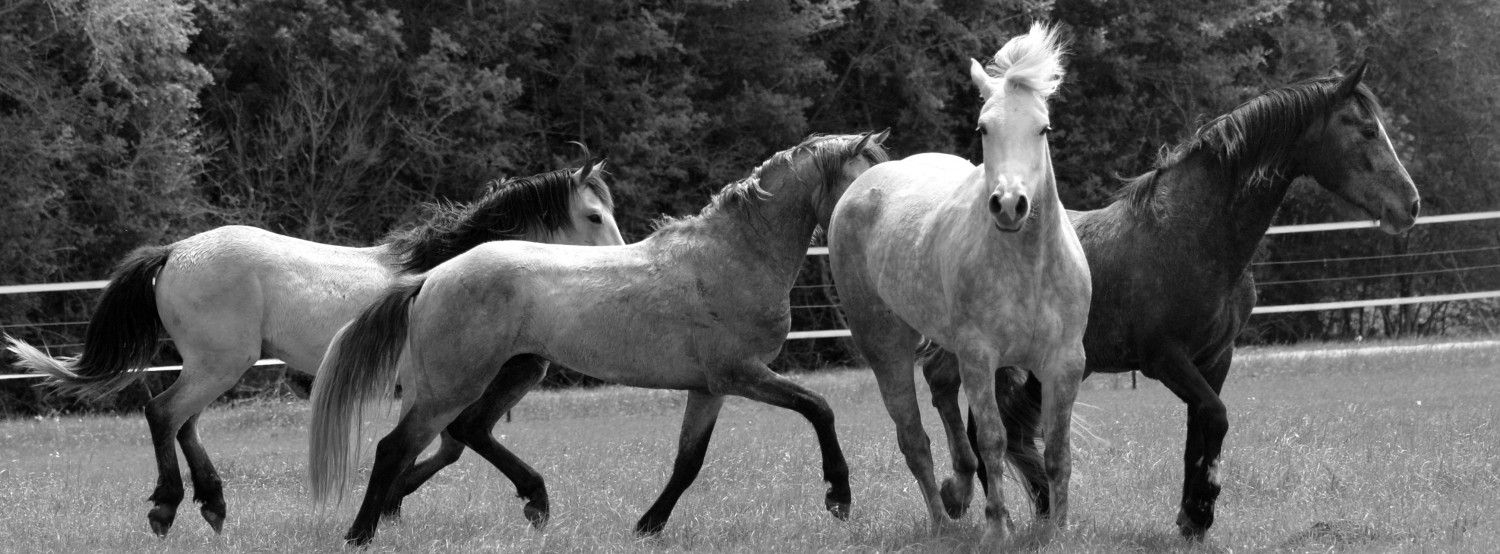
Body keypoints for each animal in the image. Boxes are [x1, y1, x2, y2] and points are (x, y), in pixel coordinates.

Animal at [5, 155, 623, 537]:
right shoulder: (437, 388)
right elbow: (436, 445)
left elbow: (442, 447)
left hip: (214, 366)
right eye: (593, 216)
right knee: (163, 413)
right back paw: (167, 507)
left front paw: (390, 505)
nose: (621, 266)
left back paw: (213, 504)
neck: (441, 273)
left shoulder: (427, 390)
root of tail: (177, 250)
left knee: (183, 423)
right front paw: (386, 508)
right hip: (219, 365)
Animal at [307, 131, 890, 545]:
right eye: (864, 183)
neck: (732, 256)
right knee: (396, 448)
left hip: (513, 373)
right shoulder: (740, 374)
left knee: (465, 432)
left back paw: (535, 501)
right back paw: (360, 533)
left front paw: (648, 525)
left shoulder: (709, 388)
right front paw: (838, 496)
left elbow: (688, 462)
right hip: (450, 386)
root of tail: (432, 276)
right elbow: (819, 408)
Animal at [827, 24, 1089, 543]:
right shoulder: (979, 358)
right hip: (885, 344)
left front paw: (1057, 531)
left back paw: (958, 494)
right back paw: (942, 520)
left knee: (941, 392)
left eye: (1043, 128)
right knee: (914, 437)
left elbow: (1057, 450)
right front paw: (997, 529)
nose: (1009, 204)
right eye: (983, 128)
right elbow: (993, 439)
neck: (1029, 268)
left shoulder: (1065, 363)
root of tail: (862, 186)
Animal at [922, 61, 1422, 539]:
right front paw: (1201, 508)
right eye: (1367, 130)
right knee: (978, 423)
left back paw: (1042, 509)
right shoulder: (1164, 359)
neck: (1189, 234)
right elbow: (1216, 418)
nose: (1411, 204)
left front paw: (1191, 518)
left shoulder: (1215, 358)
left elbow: (1198, 433)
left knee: (1013, 432)